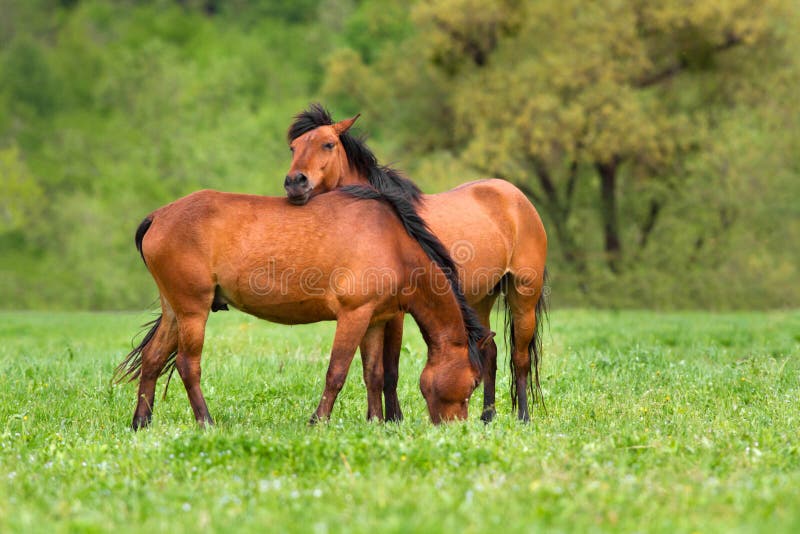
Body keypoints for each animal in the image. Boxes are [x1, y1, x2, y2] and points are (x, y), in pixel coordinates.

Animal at [113, 186, 490, 430]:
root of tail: (158, 216)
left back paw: (141, 422)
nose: (457, 430)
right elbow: (336, 373)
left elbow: (374, 374)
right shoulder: (353, 316)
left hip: (175, 311)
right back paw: (205, 422)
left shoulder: (374, 321)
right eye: (474, 382)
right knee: (188, 367)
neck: (393, 242)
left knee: (153, 359)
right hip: (193, 312)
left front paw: (375, 422)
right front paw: (318, 421)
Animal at [282, 103, 552, 422]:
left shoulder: (394, 313)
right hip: (480, 299)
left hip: (523, 295)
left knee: (520, 359)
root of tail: (517, 197)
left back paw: (522, 416)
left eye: (328, 144)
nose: (295, 183)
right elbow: (371, 369)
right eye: (294, 147)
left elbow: (389, 369)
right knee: (490, 352)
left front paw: (393, 418)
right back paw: (487, 417)